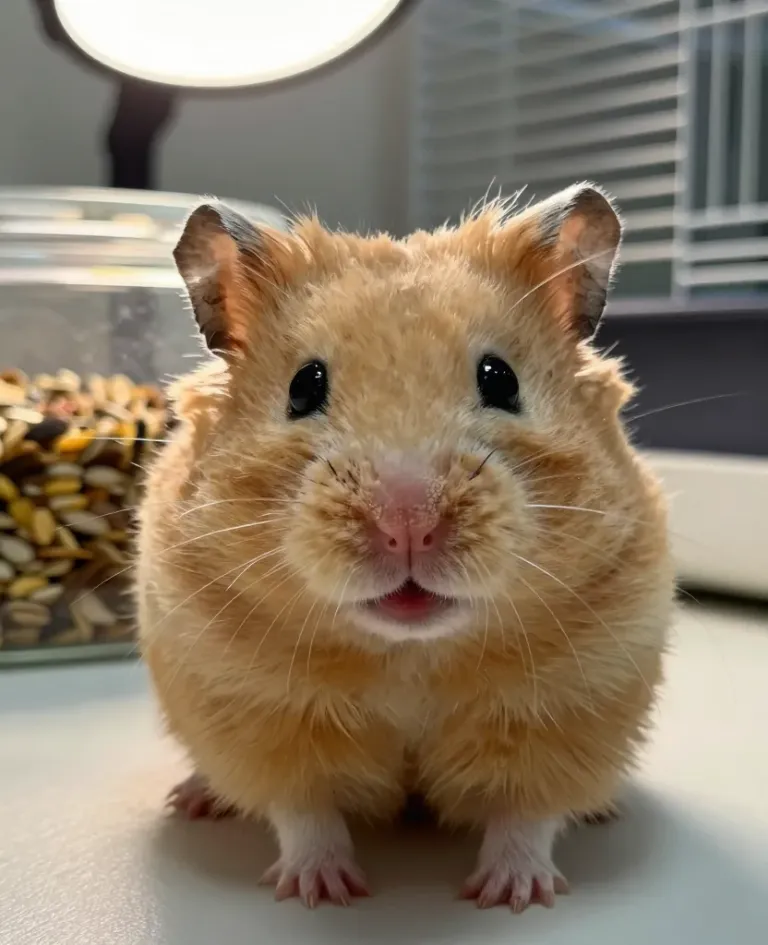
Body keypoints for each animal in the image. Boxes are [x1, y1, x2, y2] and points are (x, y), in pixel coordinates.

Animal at [138, 183, 674, 911]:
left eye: (500, 379)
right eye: (304, 386)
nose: (408, 524)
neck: (410, 654)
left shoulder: (567, 710)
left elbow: (526, 815)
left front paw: (511, 895)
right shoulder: (258, 715)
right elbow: (304, 813)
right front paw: (322, 892)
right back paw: (193, 799)